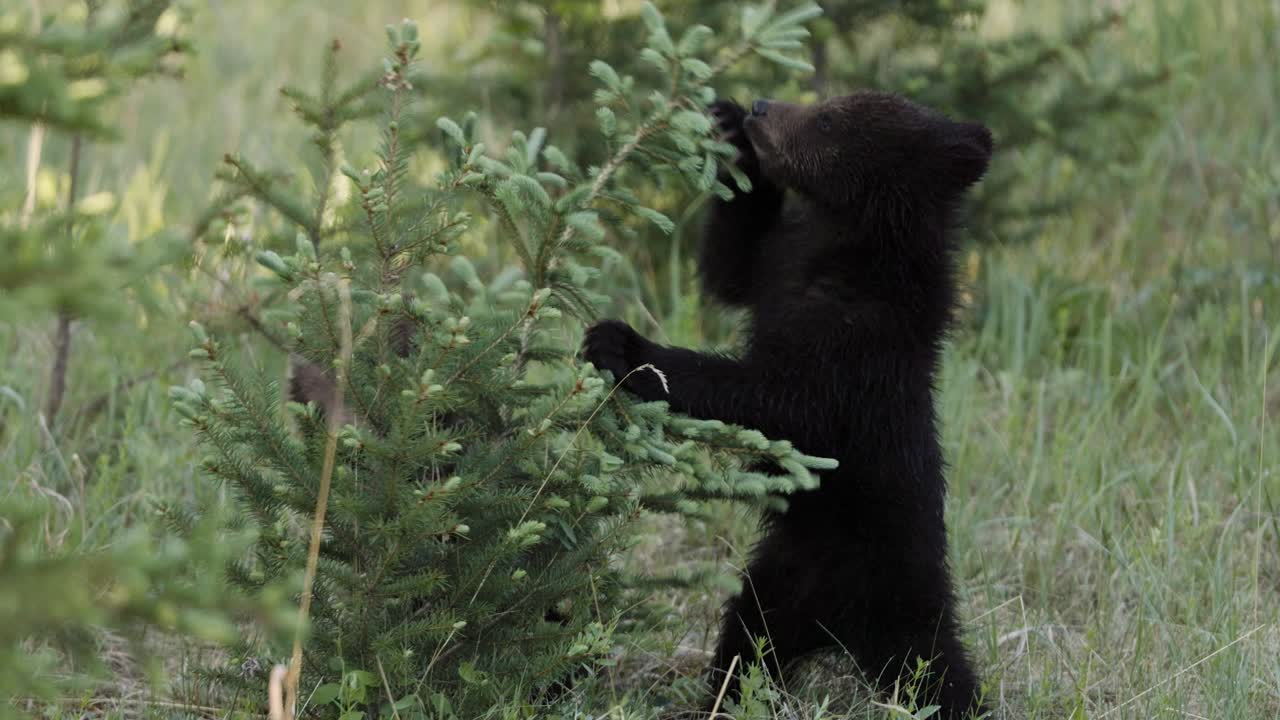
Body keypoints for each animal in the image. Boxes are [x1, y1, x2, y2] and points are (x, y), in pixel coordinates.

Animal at [581, 91, 993, 718]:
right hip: (774, 587)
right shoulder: (780, 262)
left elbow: (774, 399)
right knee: (746, 645)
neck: (846, 243)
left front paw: (624, 346)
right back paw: (722, 698)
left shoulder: (857, 343)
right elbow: (731, 269)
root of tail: (837, 630)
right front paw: (729, 135)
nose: (761, 106)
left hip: (897, 599)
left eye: (827, 118)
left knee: (939, 673)